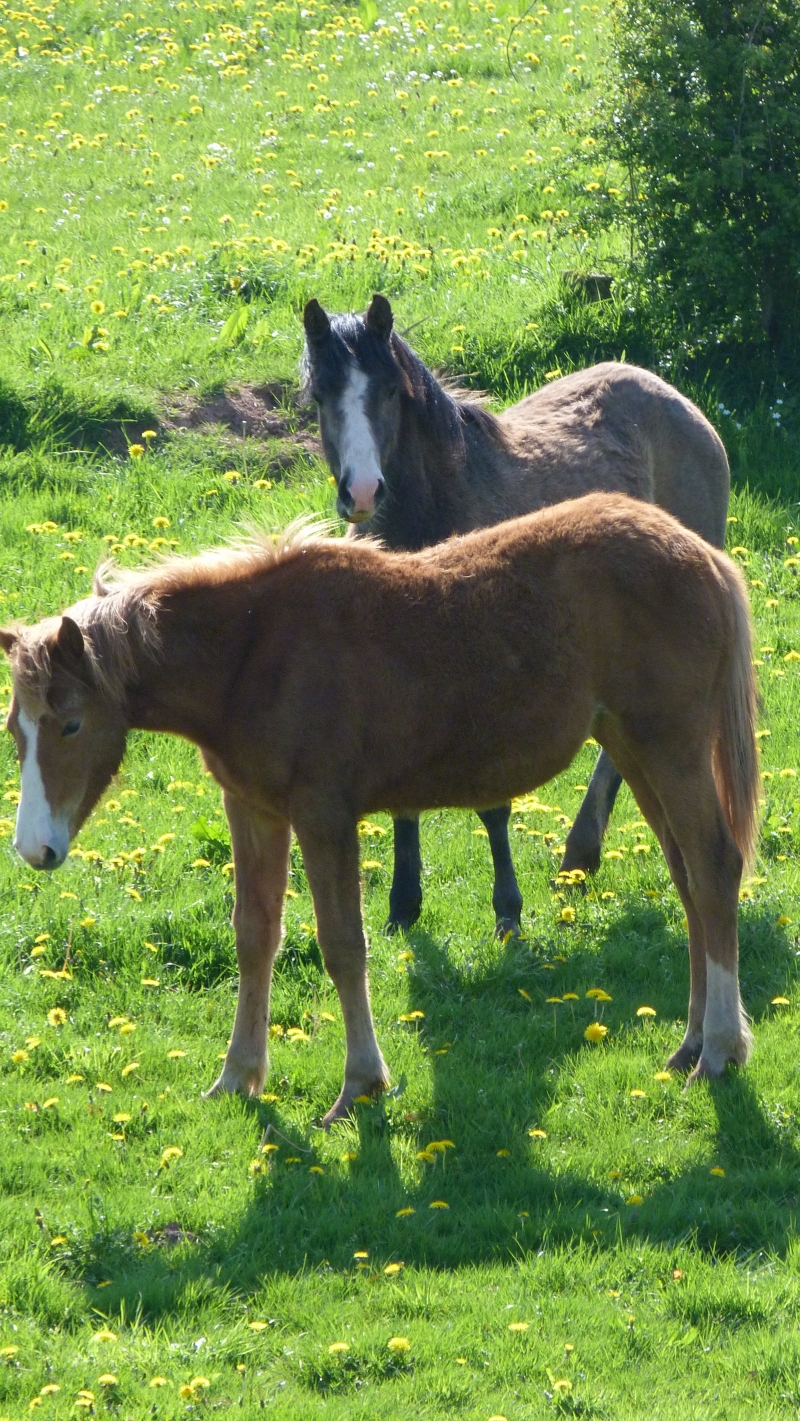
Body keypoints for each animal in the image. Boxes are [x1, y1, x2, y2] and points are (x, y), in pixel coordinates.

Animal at [3, 494, 761, 1125]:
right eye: (16, 728)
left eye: (69, 725)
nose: (36, 850)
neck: (253, 653)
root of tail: (704, 555)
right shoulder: (253, 809)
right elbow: (254, 935)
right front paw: (238, 1076)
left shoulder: (324, 814)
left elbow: (343, 945)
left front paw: (360, 1085)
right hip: (632, 747)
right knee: (689, 880)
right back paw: (690, 1045)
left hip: (670, 747)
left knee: (715, 867)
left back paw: (721, 1050)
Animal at [301, 294, 733, 937]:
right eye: (320, 395)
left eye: (388, 391)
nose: (362, 492)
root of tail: (676, 399)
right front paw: (403, 905)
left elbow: (494, 805)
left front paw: (508, 910)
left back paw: (579, 855)